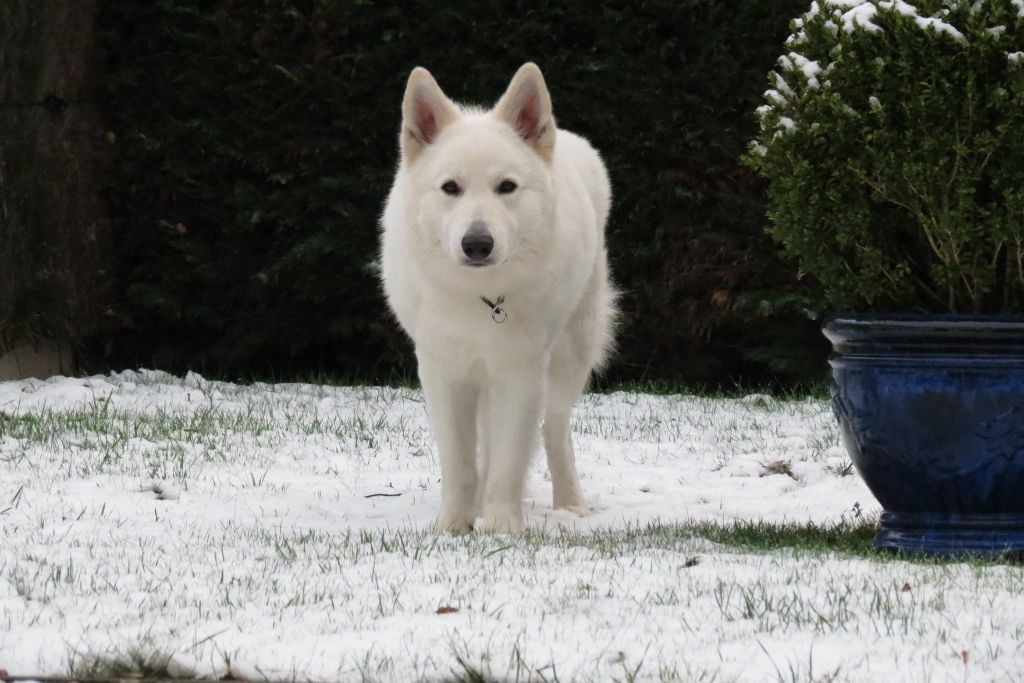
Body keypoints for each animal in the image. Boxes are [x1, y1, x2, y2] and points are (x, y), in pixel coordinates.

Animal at [378, 62, 610, 532]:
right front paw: (453, 527)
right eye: (451, 188)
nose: (477, 244)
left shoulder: (519, 373)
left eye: (506, 187)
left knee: (555, 429)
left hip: (569, 356)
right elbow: (460, 462)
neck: (481, 298)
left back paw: (570, 504)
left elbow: (509, 458)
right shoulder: (444, 372)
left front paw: (503, 527)